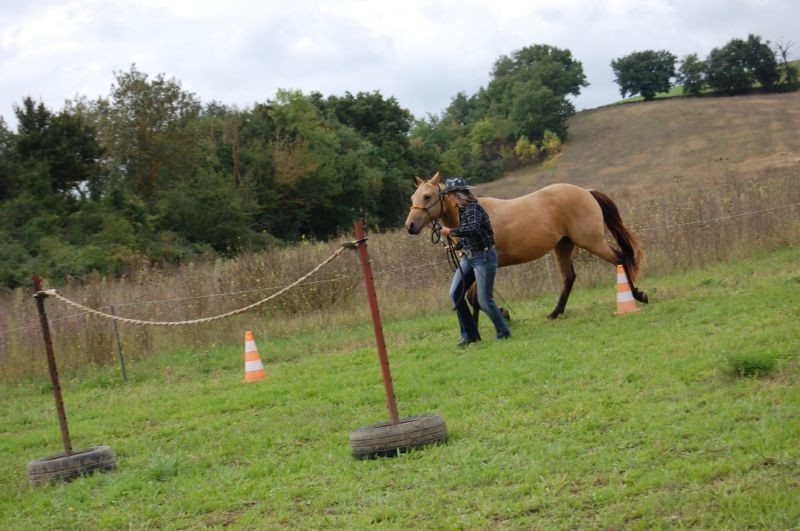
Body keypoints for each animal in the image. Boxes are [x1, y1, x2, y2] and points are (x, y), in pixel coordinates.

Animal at [404, 172, 648, 320]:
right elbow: (472, 297)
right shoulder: (472, 267)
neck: (467, 211)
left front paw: (500, 317)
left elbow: (476, 298)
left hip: (592, 241)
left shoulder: (483, 266)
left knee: (620, 259)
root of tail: (586, 192)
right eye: (413, 197)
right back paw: (555, 313)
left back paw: (637, 295)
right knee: (569, 278)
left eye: (427, 196)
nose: (410, 225)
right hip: (563, 247)